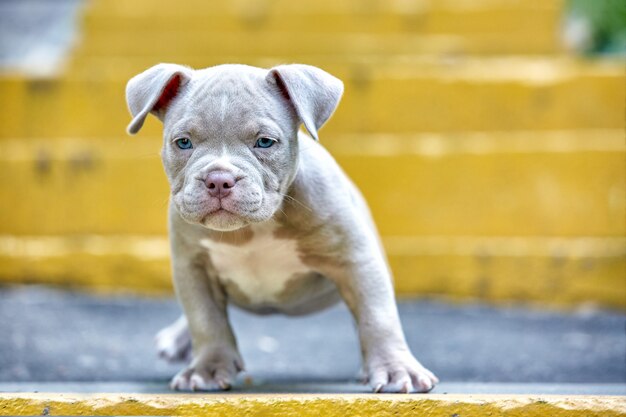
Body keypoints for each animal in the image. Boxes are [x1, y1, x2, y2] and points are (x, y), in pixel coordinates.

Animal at [124, 63, 436, 392]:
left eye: (265, 142)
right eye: (183, 142)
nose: (219, 179)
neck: (249, 229)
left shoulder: (356, 261)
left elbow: (378, 316)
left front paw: (395, 369)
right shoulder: (193, 267)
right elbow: (205, 319)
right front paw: (207, 369)